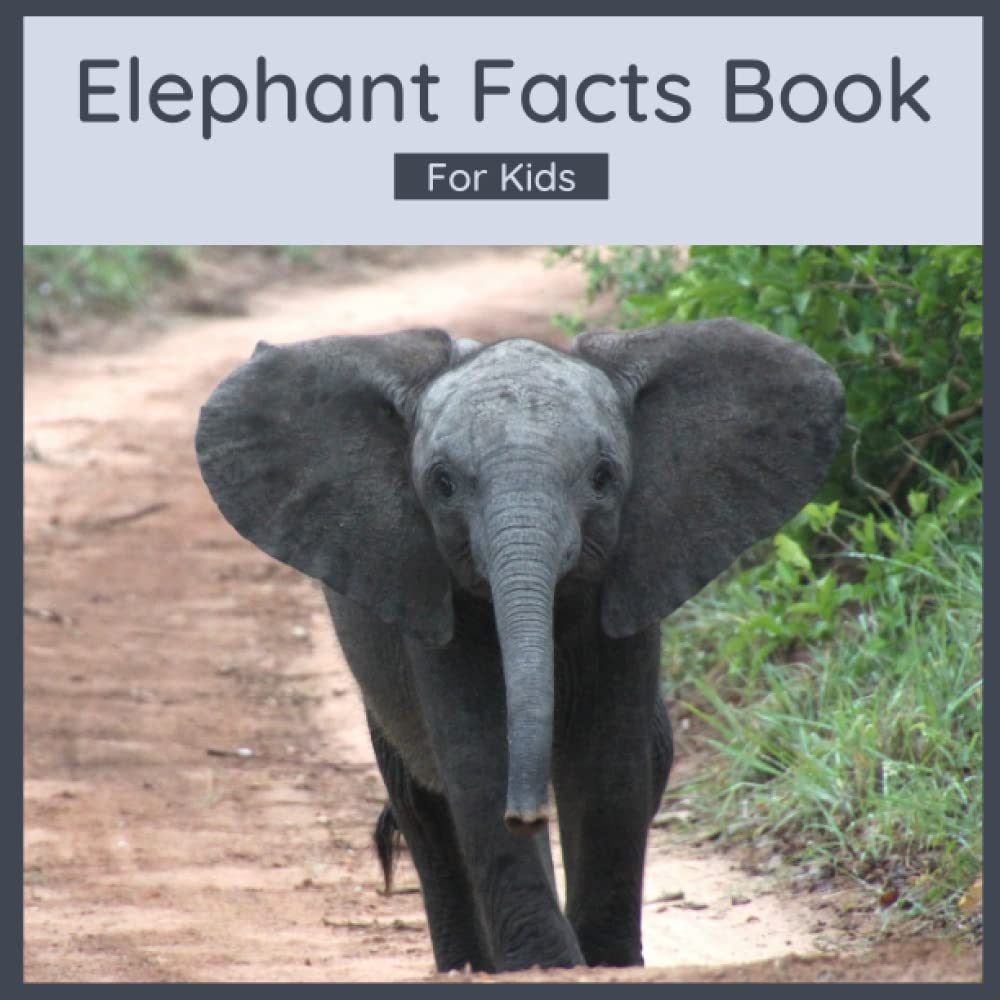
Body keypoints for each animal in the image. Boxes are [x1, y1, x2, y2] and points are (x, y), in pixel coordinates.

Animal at [195, 319, 844, 973]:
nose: (527, 816)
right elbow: (479, 757)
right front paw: (548, 964)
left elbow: (609, 763)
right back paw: (467, 966)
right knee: (420, 805)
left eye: (603, 477)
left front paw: (607, 961)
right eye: (443, 484)